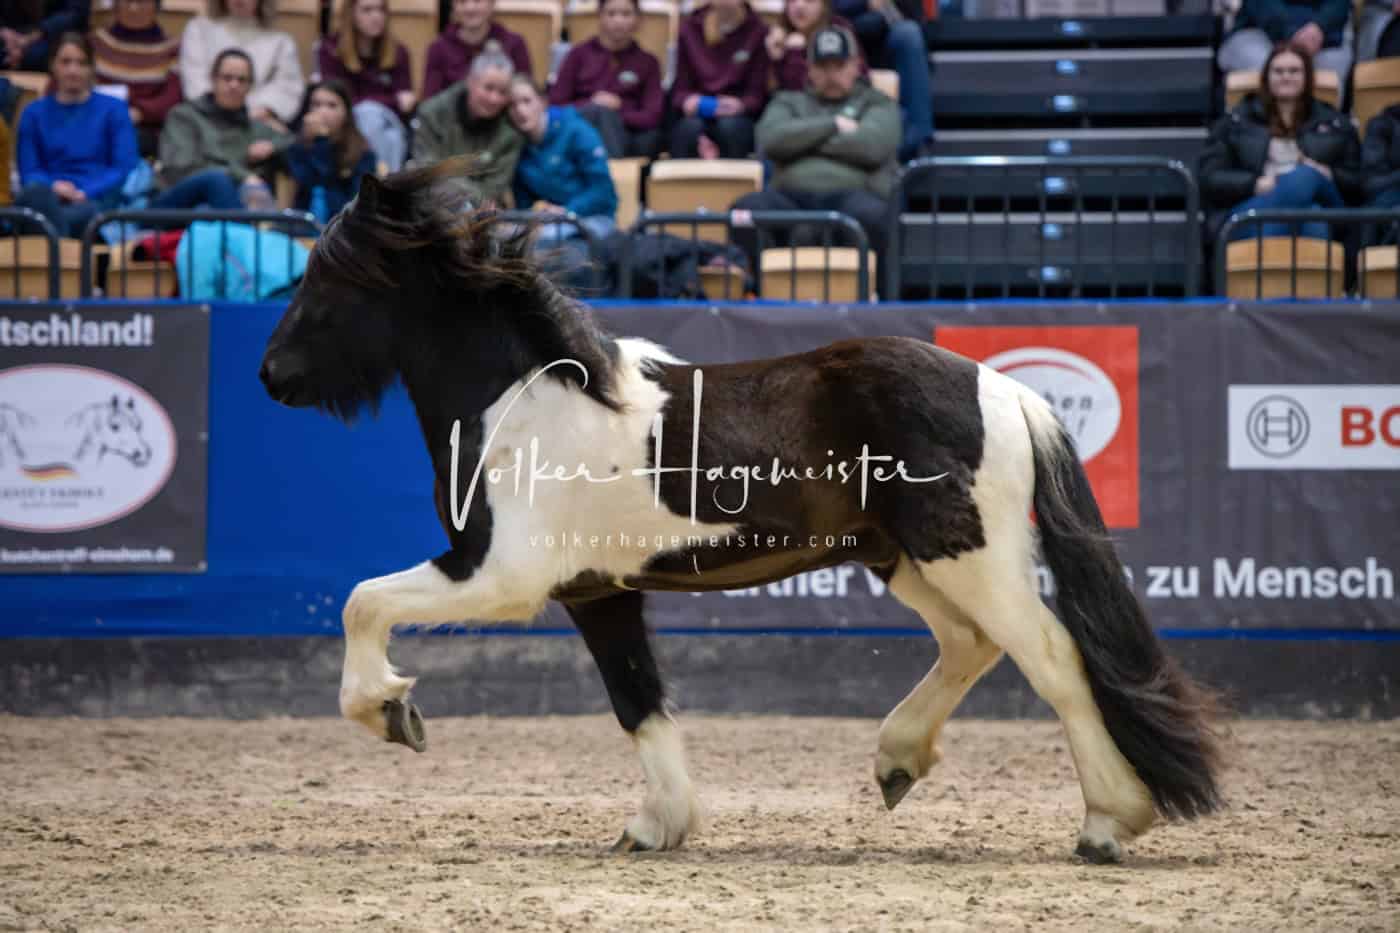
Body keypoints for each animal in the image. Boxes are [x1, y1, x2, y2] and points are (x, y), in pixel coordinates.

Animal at [259, 158, 1223, 863]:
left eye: (326, 278)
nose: (272, 376)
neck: (523, 404)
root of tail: (1008, 391)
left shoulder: (502, 574)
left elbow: (363, 601)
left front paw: (393, 711)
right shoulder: (599, 591)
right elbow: (638, 700)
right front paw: (658, 827)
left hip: (966, 555)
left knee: (1053, 657)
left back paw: (1106, 823)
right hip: (903, 557)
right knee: (970, 644)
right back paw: (897, 761)